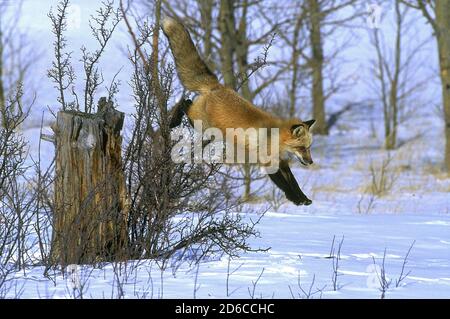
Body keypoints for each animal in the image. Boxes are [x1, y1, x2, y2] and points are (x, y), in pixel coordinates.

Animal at [163, 17, 314, 206]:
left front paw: (303, 198)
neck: (275, 137)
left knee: (187, 101)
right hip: (201, 123)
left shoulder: (281, 161)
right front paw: (296, 199)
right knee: (184, 103)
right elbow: (285, 184)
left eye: (309, 147)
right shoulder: (267, 160)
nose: (310, 162)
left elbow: (293, 182)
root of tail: (217, 86)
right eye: (302, 147)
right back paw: (173, 120)